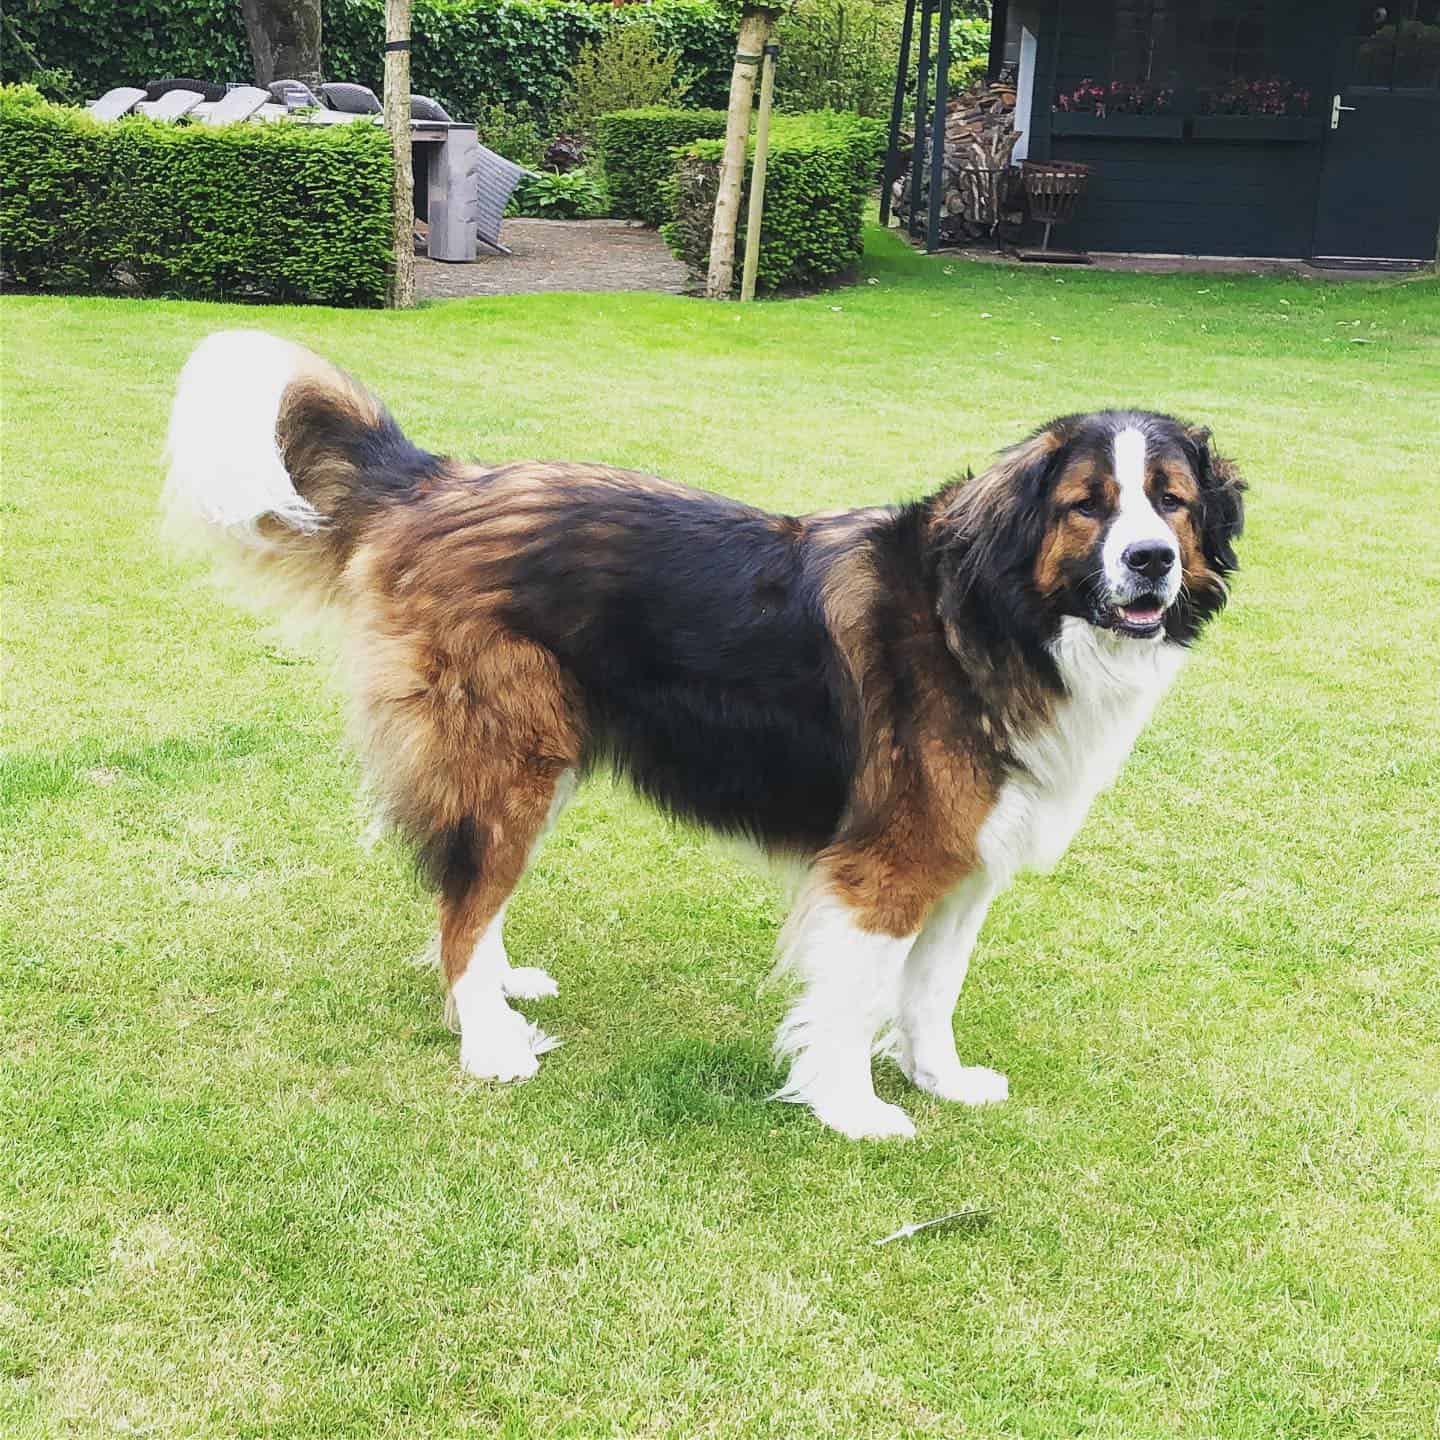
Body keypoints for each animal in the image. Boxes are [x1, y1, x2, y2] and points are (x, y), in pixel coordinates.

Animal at [165, 331, 1249, 1140]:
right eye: (1088, 507)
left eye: (1172, 503)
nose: (1150, 561)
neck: (994, 613)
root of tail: (440, 482)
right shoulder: (888, 866)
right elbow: (858, 999)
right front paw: (853, 1110)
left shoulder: (966, 861)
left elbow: (930, 995)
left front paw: (941, 1080)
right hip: (508, 753)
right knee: (461, 909)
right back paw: (489, 1041)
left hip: (536, 757)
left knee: (473, 893)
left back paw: (507, 986)